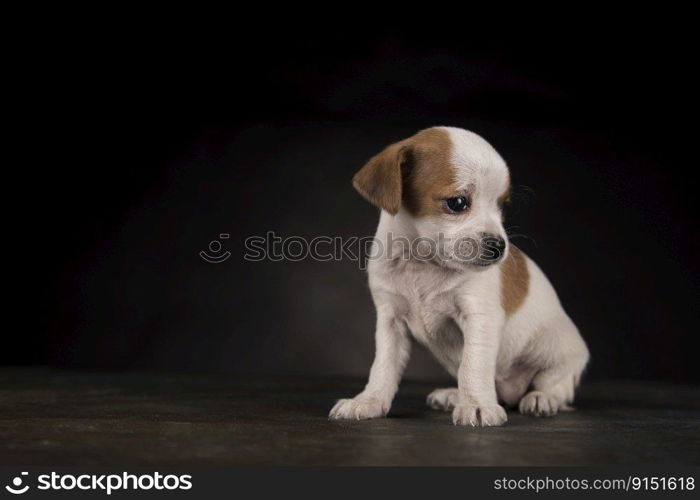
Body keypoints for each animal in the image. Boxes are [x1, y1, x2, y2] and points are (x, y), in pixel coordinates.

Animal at [330, 126, 588, 426]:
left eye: (501, 206)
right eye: (458, 203)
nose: (499, 245)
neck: (423, 263)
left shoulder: (479, 317)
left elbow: (472, 364)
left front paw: (476, 404)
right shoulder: (390, 322)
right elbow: (383, 367)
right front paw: (369, 401)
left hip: (558, 355)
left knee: (556, 388)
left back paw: (540, 399)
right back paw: (454, 395)